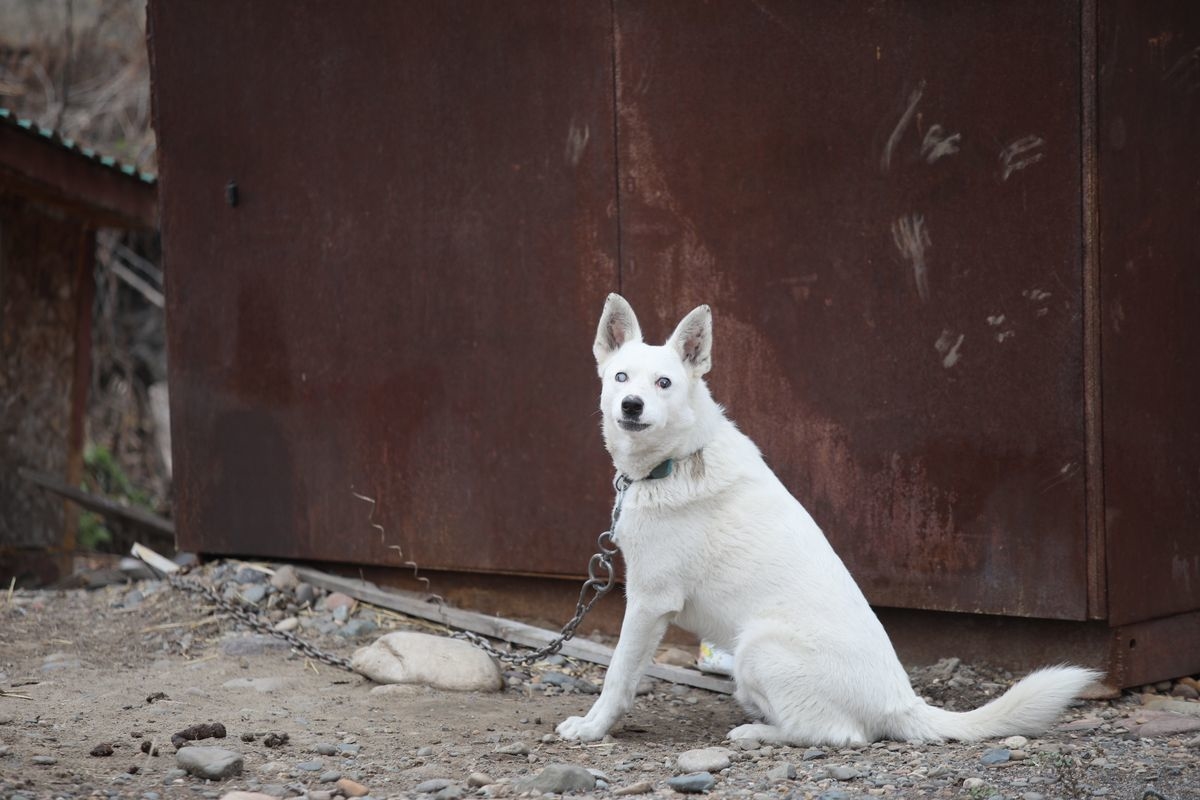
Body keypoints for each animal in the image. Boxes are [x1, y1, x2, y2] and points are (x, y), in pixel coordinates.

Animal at [556, 296, 1099, 753]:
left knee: (839, 734)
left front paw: (593, 727)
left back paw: (757, 733)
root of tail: (902, 703)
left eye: (664, 384)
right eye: (621, 377)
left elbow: (618, 676)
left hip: (759, 645)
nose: (631, 405)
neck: (676, 461)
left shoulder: (649, 602)